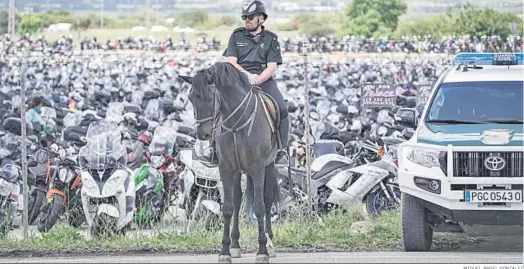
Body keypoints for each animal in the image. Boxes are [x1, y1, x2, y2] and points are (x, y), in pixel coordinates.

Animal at [181, 61, 286, 262]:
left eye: (210, 97)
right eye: (191, 98)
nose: (203, 134)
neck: (237, 124)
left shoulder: (257, 168)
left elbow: (260, 207)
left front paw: (262, 251)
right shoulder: (227, 169)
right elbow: (228, 208)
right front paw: (225, 251)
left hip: (269, 166)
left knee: (267, 200)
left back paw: (270, 243)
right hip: (239, 172)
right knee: (237, 202)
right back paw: (236, 245)